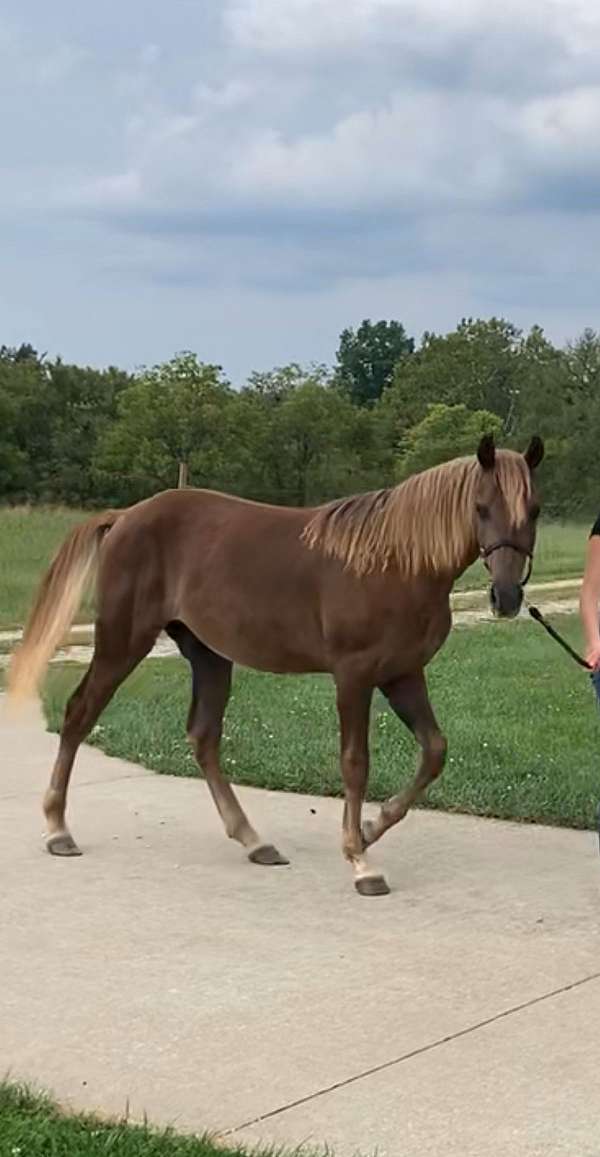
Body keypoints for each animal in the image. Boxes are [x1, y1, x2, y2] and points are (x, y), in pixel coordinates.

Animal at [8, 435, 545, 893]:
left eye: (534, 510)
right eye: (480, 508)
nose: (506, 597)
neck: (396, 562)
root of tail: (124, 517)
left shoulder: (402, 675)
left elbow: (434, 751)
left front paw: (371, 828)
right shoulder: (354, 677)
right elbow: (355, 764)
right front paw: (360, 860)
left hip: (209, 656)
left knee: (203, 737)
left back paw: (254, 840)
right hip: (122, 642)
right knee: (80, 714)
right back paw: (58, 829)